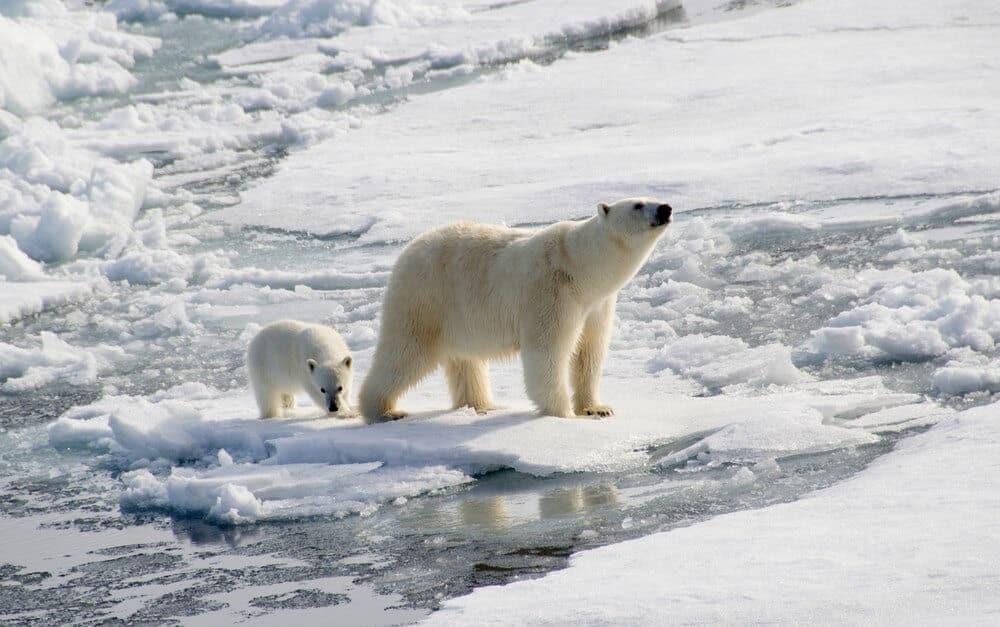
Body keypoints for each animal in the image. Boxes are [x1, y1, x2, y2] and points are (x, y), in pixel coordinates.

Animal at [360, 199, 672, 424]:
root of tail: (405, 252)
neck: (580, 268)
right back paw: (384, 410)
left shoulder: (597, 304)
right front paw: (563, 414)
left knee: (465, 360)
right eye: (638, 204)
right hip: (425, 299)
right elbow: (547, 352)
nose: (666, 208)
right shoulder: (551, 294)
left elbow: (589, 353)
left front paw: (597, 408)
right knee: (405, 351)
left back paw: (482, 404)